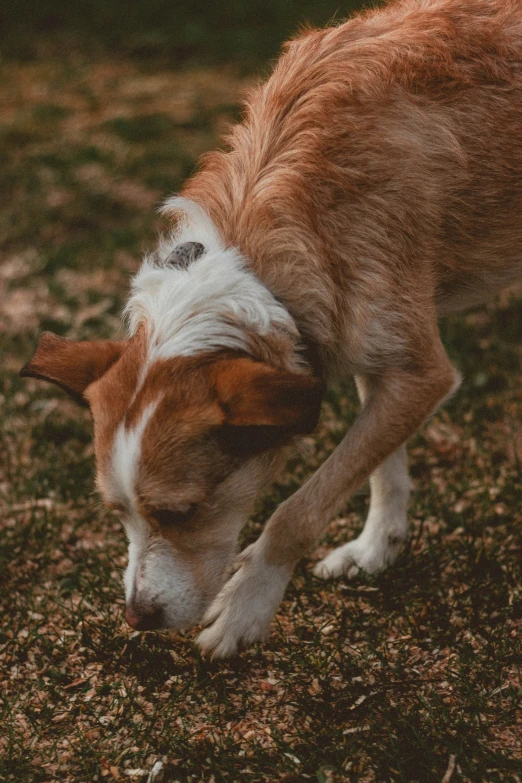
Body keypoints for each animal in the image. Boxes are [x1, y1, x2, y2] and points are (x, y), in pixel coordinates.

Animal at [21, 0, 522, 660]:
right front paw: (376, 547)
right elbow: (379, 465)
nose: (136, 618)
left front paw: (246, 606)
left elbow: (298, 510)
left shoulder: (422, 374)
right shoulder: (372, 352)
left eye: (182, 512)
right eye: (116, 511)